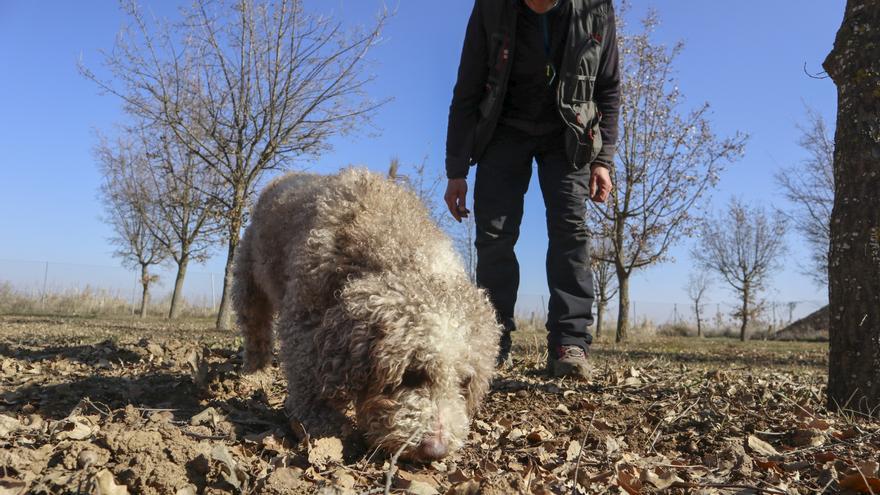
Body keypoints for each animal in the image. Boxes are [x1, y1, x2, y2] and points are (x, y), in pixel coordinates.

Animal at [230, 170, 498, 462]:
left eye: (464, 382)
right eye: (411, 375)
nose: (435, 450)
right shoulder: (305, 313)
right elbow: (307, 372)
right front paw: (324, 421)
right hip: (249, 276)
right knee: (255, 327)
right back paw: (255, 371)